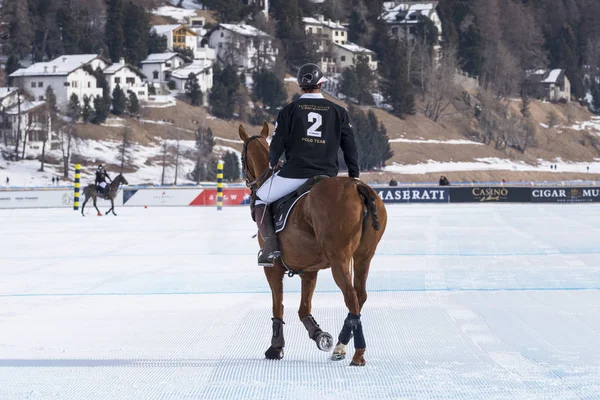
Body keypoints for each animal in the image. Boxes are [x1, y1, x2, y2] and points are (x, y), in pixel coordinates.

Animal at [240, 123, 390, 368]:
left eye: (242, 158)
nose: (248, 184)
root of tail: (358, 187)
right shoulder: (309, 270)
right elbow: (304, 309)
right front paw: (319, 335)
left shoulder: (273, 268)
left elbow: (278, 305)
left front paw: (276, 347)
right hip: (363, 256)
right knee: (360, 295)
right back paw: (340, 345)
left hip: (339, 258)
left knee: (351, 296)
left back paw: (356, 353)